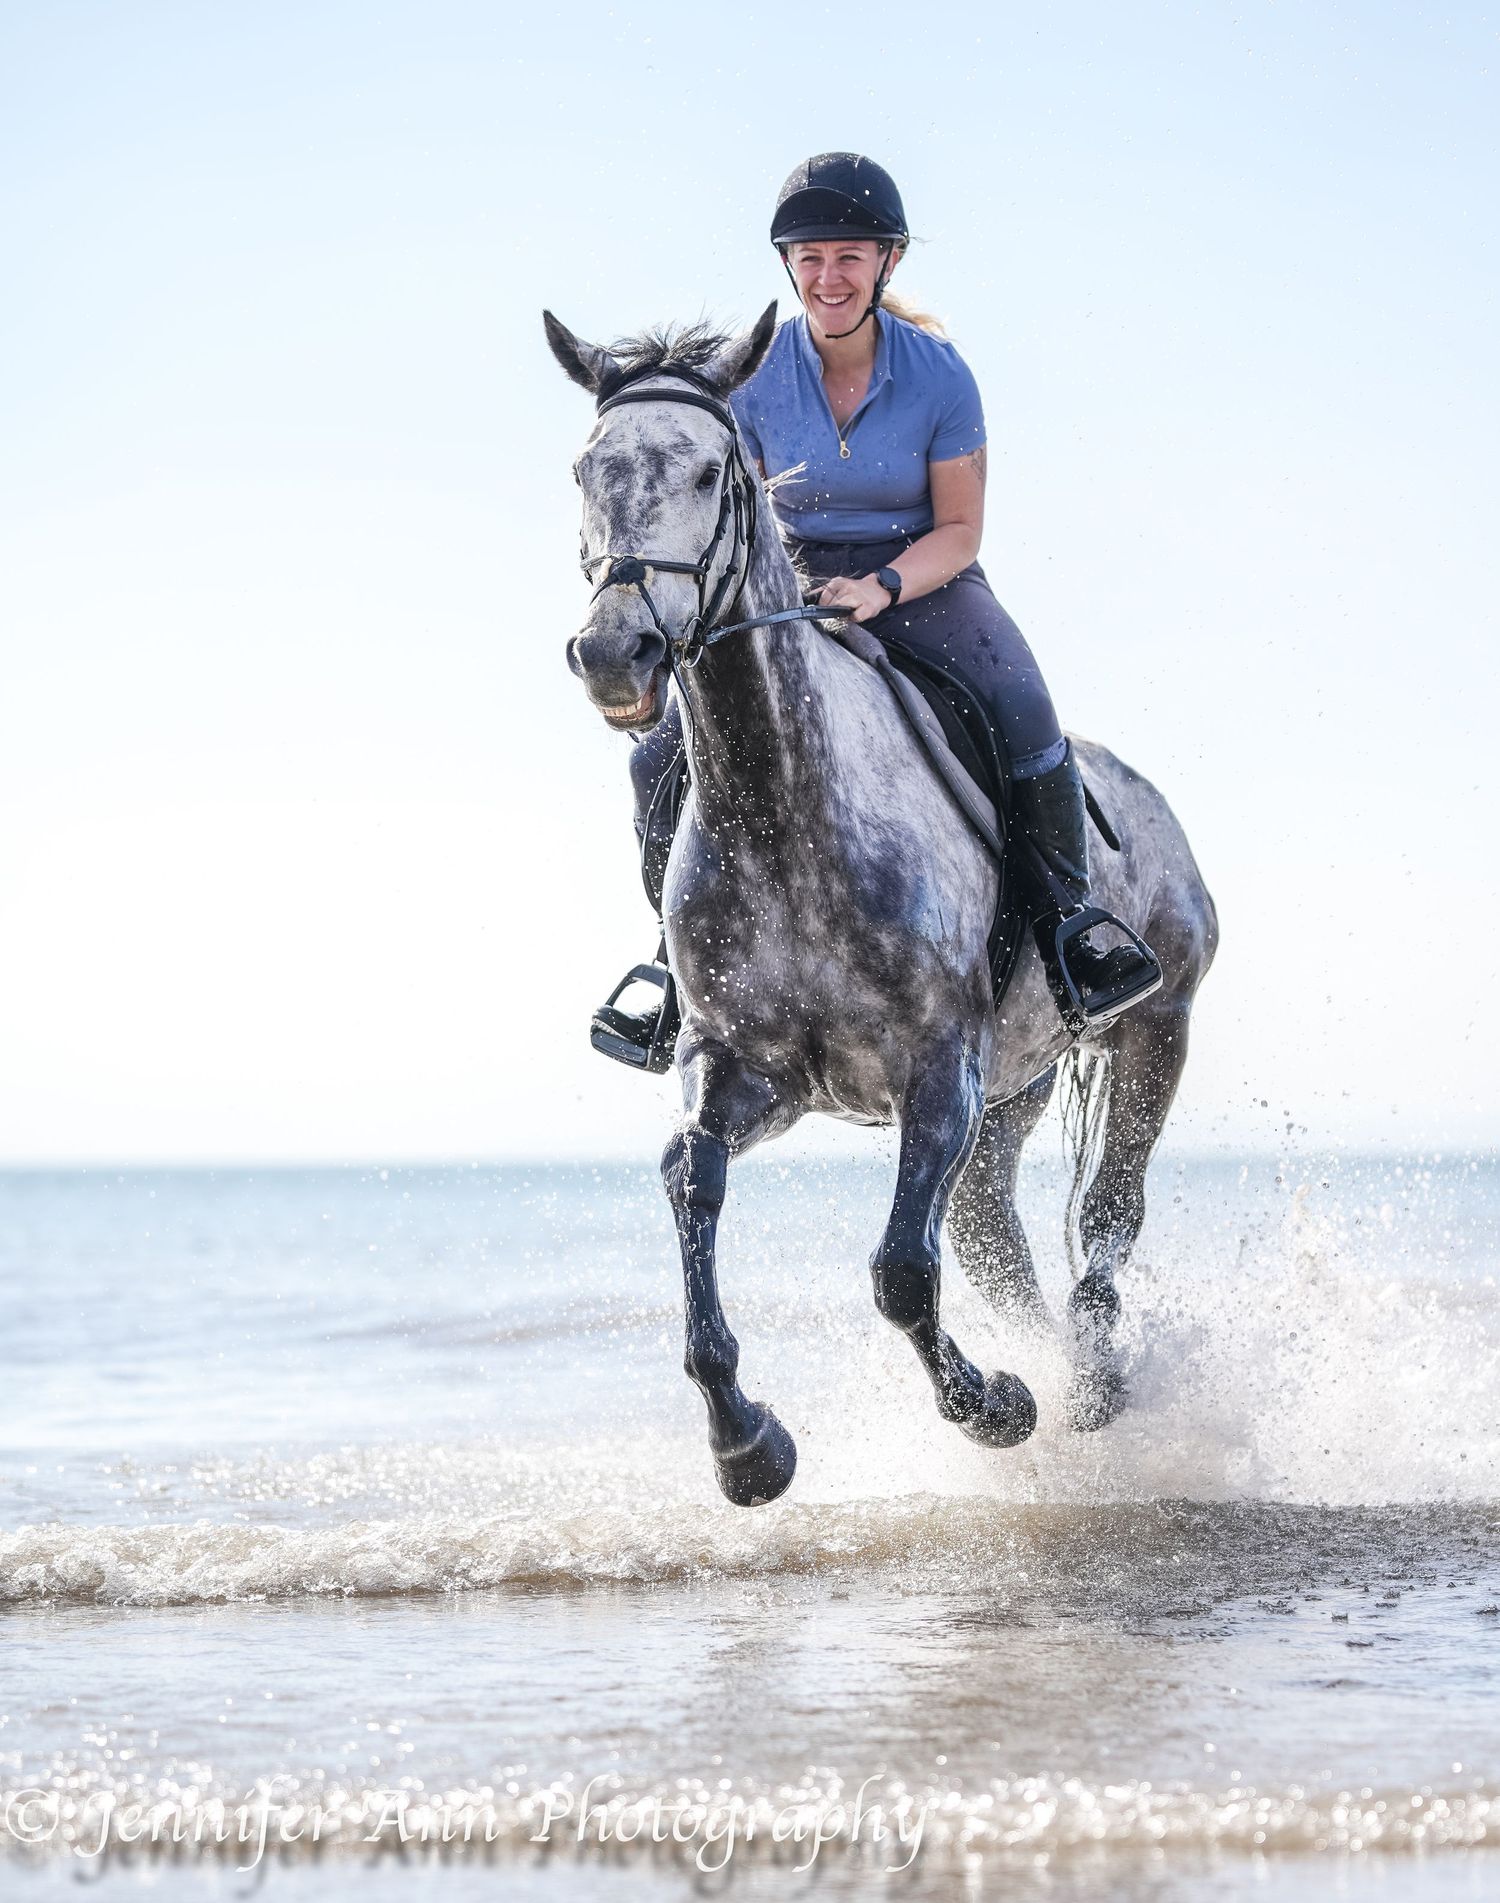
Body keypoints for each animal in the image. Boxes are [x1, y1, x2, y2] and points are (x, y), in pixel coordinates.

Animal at [545, 302, 1218, 1507]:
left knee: (1108, 1213)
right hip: (1017, 1085)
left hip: (1155, 1029)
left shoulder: (939, 1069)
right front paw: (747, 1446)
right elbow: (688, 1183)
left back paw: (1091, 1383)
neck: (782, 806)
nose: (615, 652)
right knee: (997, 1234)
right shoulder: (744, 1072)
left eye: (714, 471)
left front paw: (998, 1409)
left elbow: (904, 1269)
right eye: (586, 468)